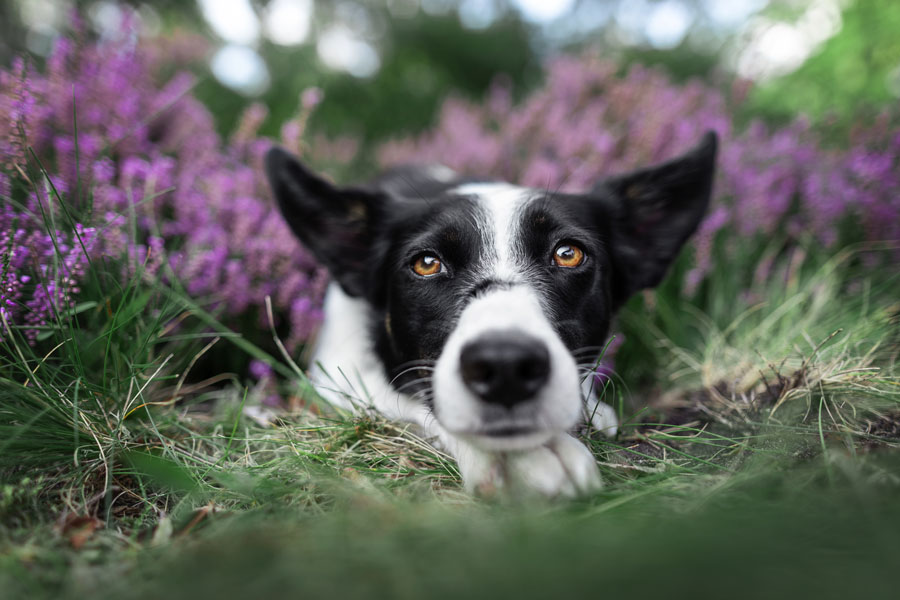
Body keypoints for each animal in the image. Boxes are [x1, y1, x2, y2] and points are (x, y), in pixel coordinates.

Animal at [262, 130, 716, 496]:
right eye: (426, 263)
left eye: (568, 253)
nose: (506, 367)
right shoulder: (336, 372)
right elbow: (415, 400)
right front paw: (534, 457)